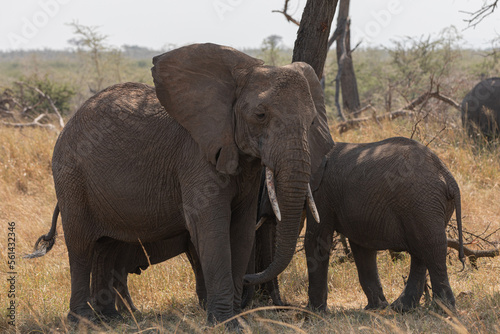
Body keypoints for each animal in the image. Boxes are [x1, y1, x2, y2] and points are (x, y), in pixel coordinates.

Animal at [29, 42, 332, 326]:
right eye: (260, 115)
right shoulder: (196, 155)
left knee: (108, 245)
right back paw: (82, 321)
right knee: (81, 244)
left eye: (312, 122)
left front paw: (235, 319)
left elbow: (242, 228)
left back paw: (110, 319)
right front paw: (223, 322)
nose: (250, 279)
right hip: (70, 174)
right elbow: (209, 224)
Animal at [250, 136, 464, 314]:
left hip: (422, 202)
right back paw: (401, 308)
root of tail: (448, 177)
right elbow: (362, 247)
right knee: (420, 251)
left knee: (431, 248)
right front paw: (376, 308)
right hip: (425, 206)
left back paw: (444, 310)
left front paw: (313, 312)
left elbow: (316, 242)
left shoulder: (322, 195)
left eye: (269, 185)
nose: (283, 305)